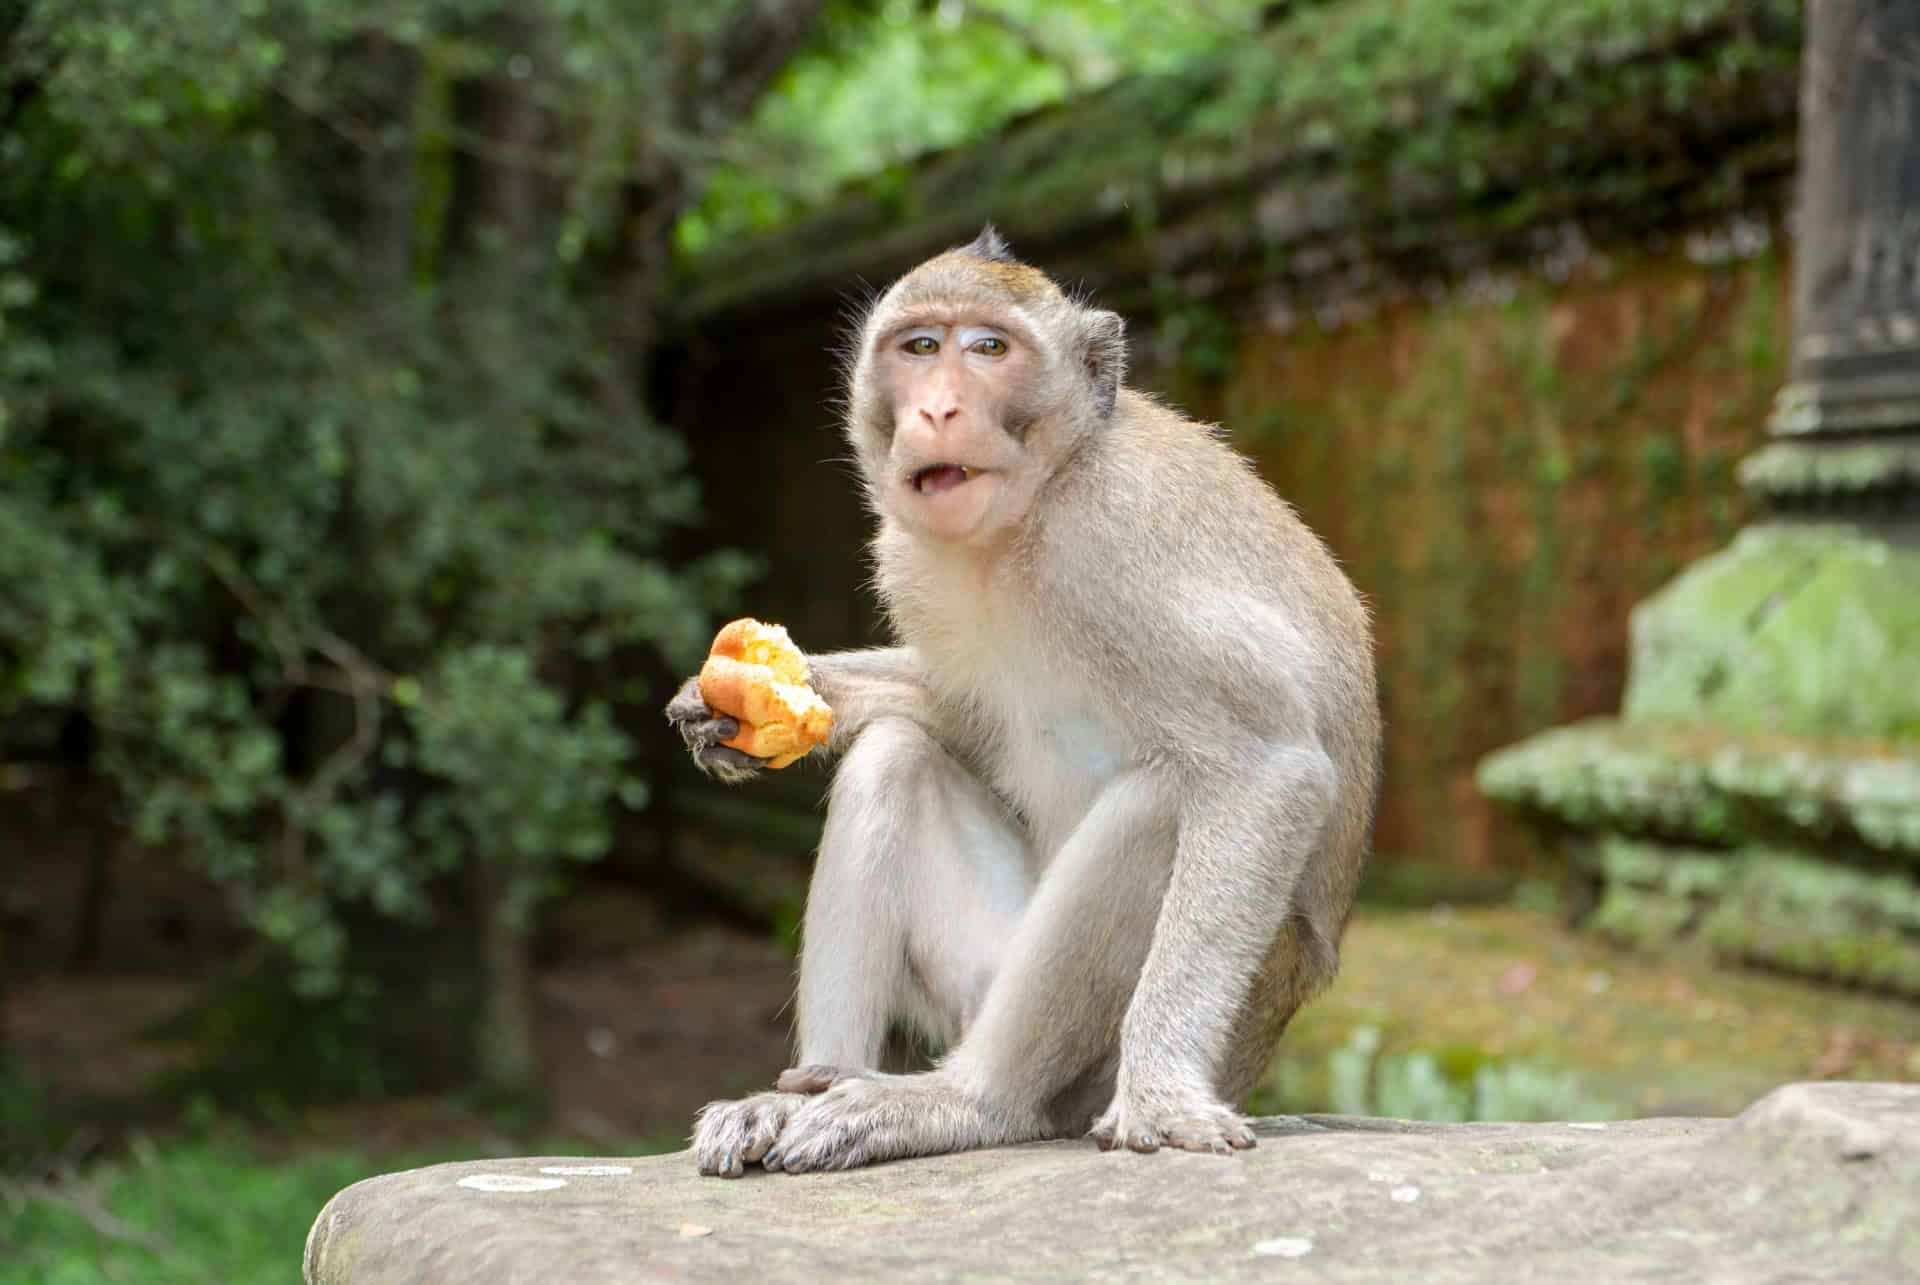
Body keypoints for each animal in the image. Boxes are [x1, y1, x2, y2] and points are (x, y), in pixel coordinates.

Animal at [666, 226, 1380, 1176]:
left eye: (989, 348)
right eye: (920, 347)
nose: (937, 410)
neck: (1020, 522)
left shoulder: (1114, 542)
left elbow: (1270, 764)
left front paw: (1161, 1091)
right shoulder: (908, 556)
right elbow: (961, 712)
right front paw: (753, 703)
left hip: (1172, 1034)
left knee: (1161, 806)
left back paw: (967, 1100)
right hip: (976, 976)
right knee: (896, 756)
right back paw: (807, 1087)